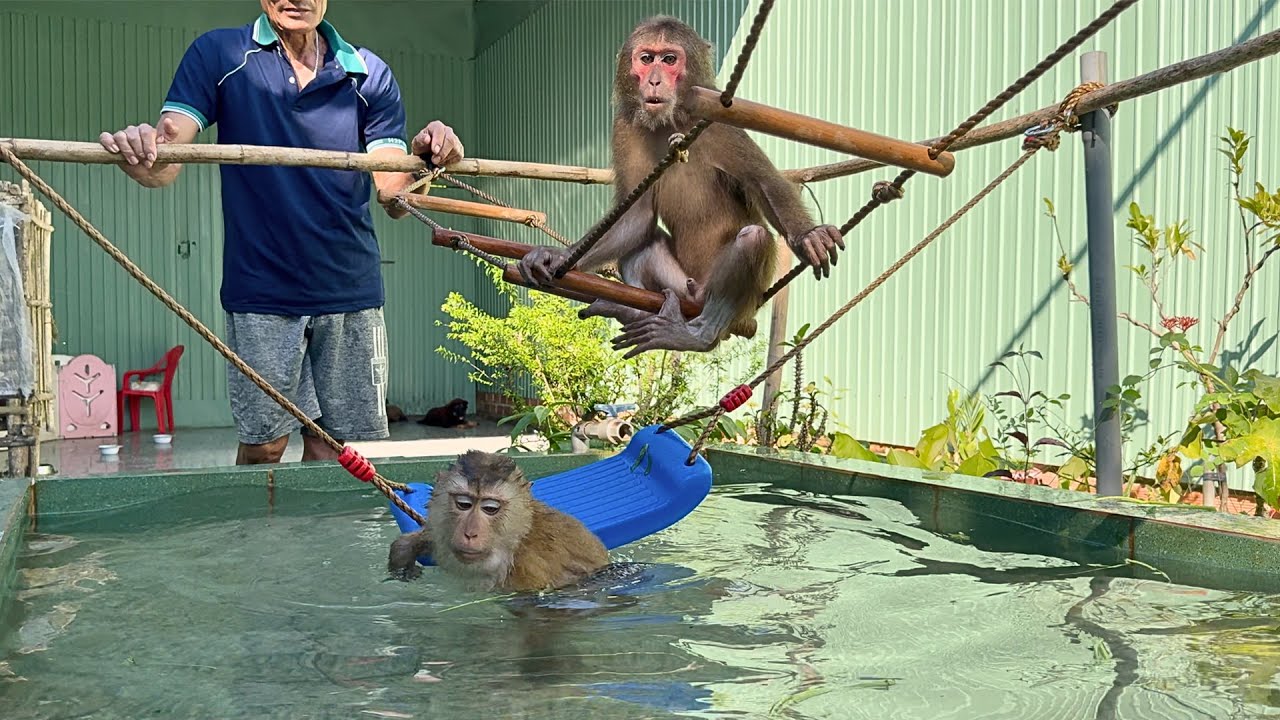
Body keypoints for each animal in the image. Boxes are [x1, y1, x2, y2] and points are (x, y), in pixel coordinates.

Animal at [386, 450, 609, 592]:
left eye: (490, 508)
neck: (516, 541)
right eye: (464, 504)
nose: (470, 533)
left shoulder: (528, 571)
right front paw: (407, 552)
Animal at [516, 15, 844, 359]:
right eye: (647, 59)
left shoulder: (720, 120)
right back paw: (637, 312)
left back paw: (701, 335)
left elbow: (765, 183)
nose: (654, 81)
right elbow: (636, 217)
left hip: (736, 301)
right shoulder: (625, 126)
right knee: (643, 248)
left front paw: (808, 236)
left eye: (670, 60)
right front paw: (556, 257)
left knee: (753, 238)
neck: (672, 119)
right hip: (679, 286)